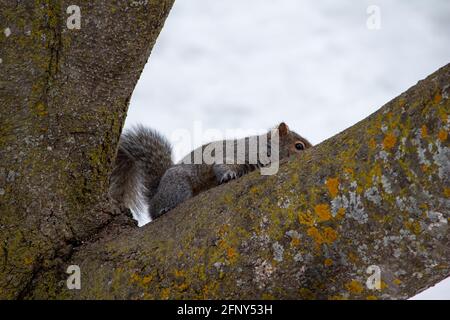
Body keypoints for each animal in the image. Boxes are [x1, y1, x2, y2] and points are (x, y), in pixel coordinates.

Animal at [110, 123, 312, 222]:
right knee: (156, 210)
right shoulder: (235, 154)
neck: (266, 149)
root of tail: (155, 194)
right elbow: (223, 166)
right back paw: (163, 209)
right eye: (299, 146)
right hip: (178, 188)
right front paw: (228, 175)